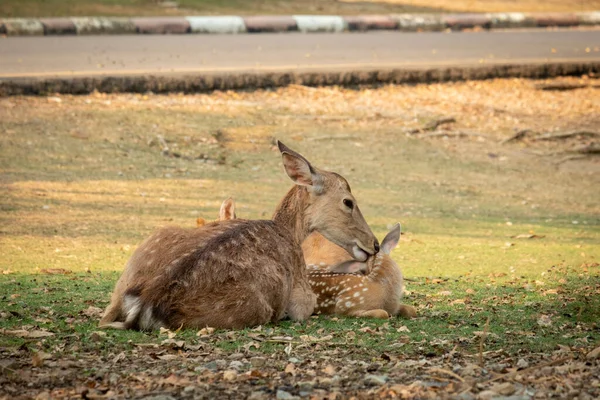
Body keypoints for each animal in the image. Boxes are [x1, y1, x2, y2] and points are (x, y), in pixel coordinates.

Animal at [100, 142, 378, 330]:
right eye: (348, 201)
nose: (374, 244)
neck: (291, 232)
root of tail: (145, 304)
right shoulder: (302, 297)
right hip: (251, 310)